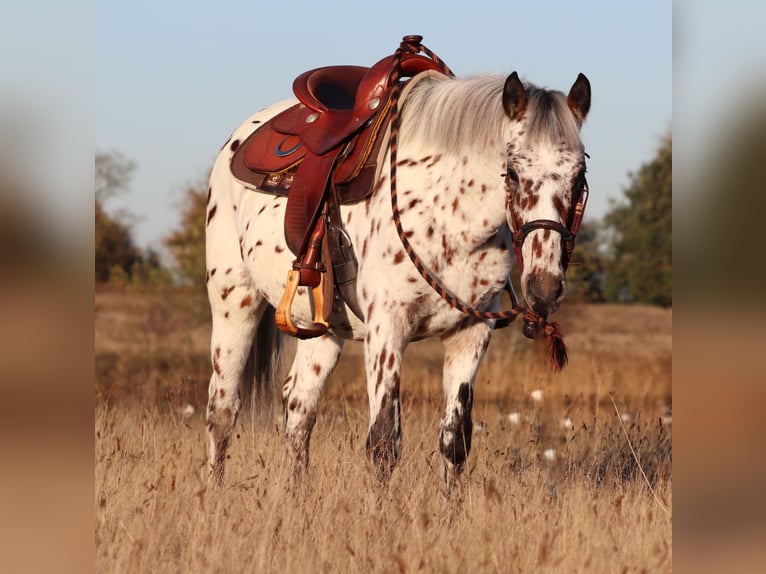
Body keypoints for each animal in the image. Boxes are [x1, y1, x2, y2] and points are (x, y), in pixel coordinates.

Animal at [204, 46, 592, 490]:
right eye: (511, 171)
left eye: (579, 176)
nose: (545, 288)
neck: (448, 217)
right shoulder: (387, 330)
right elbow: (384, 441)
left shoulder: (470, 335)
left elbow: (455, 440)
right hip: (235, 305)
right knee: (222, 409)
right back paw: (213, 494)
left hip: (325, 331)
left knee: (299, 407)